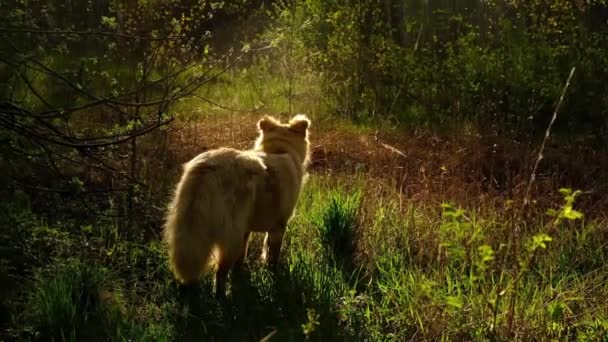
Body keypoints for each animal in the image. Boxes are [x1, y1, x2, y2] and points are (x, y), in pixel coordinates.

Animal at [164, 113, 312, 296]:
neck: (279, 149)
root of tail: (208, 167)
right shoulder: (279, 226)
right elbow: (273, 257)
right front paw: (274, 277)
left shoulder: (246, 230)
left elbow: (242, 259)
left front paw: (240, 278)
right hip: (230, 236)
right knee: (220, 273)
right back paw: (222, 298)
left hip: (191, 231)